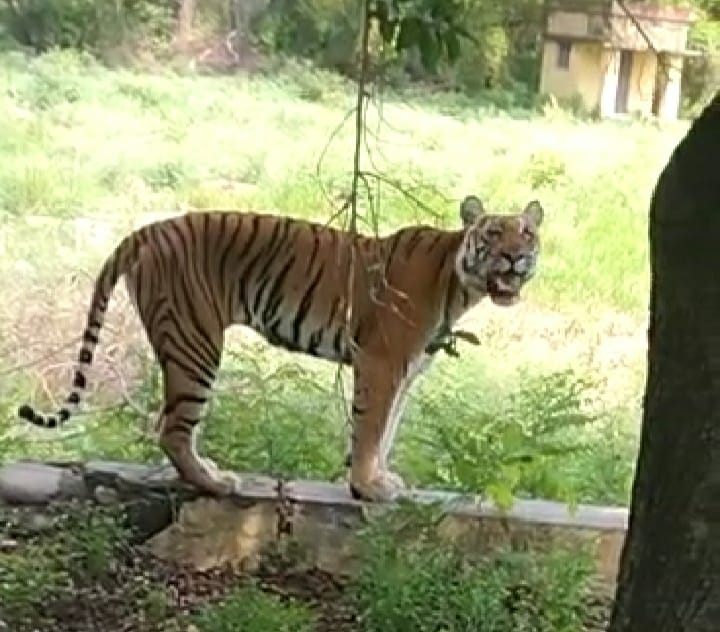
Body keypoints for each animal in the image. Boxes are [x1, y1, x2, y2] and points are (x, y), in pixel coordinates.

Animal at [18, 195, 543, 502]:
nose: (515, 257)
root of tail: (146, 229)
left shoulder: (407, 372)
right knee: (173, 429)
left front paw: (380, 479)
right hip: (196, 342)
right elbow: (371, 428)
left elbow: (388, 430)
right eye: (493, 233)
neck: (459, 285)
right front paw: (367, 487)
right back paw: (215, 481)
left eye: (527, 233)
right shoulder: (382, 363)